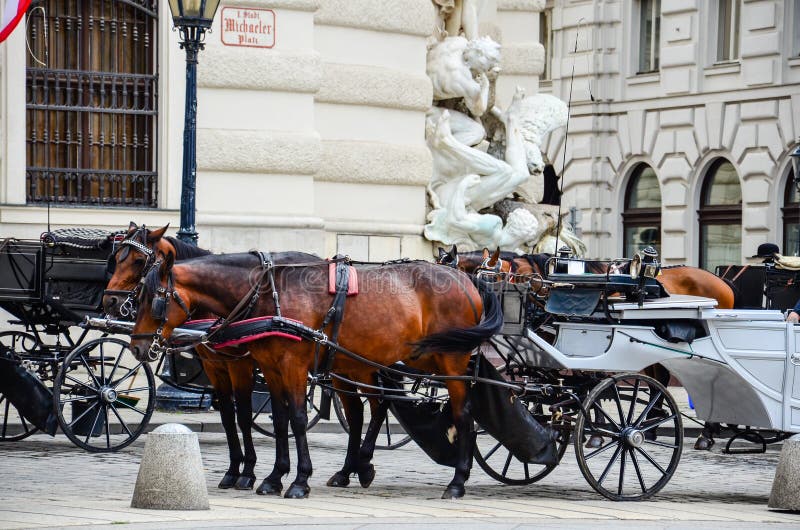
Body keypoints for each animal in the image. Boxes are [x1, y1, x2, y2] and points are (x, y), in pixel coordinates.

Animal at [103, 223, 260, 490]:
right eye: (116, 258)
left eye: (138, 260)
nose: (109, 300)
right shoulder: (216, 367)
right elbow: (228, 417)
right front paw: (232, 471)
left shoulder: (240, 366)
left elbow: (244, 416)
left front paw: (248, 472)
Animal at [127, 251, 503, 499]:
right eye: (137, 295)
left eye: (155, 299)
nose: (137, 347)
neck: (268, 293)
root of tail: (465, 279)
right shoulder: (270, 367)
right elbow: (278, 420)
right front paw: (274, 476)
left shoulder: (289, 366)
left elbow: (294, 418)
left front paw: (298, 480)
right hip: (375, 362)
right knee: (368, 411)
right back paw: (355, 469)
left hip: (450, 362)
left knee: (463, 414)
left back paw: (457, 481)